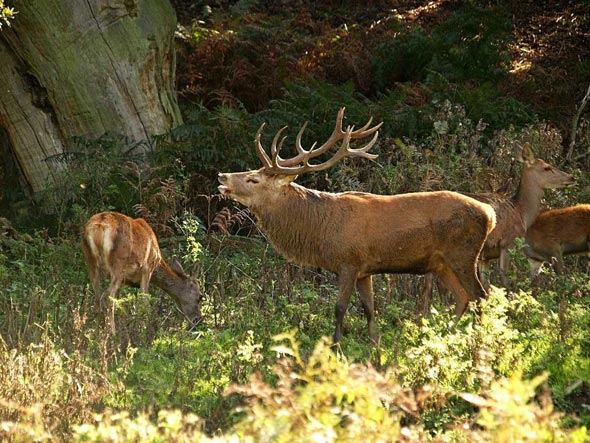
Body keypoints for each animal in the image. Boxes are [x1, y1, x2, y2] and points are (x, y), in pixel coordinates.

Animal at [220, 109, 498, 346]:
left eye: (253, 179)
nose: (222, 176)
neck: (319, 230)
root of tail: (490, 214)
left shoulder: (348, 262)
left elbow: (339, 308)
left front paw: (336, 347)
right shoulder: (366, 270)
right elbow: (370, 310)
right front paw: (375, 347)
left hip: (463, 254)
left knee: (481, 296)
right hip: (441, 263)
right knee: (463, 297)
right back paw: (445, 336)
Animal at [424, 146, 576, 308]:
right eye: (547, 167)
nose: (571, 177)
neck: (521, 212)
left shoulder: (485, 256)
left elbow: (487, 286)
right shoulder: (507, 243)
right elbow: (504, 282)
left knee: (429, 286)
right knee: (440, 284)